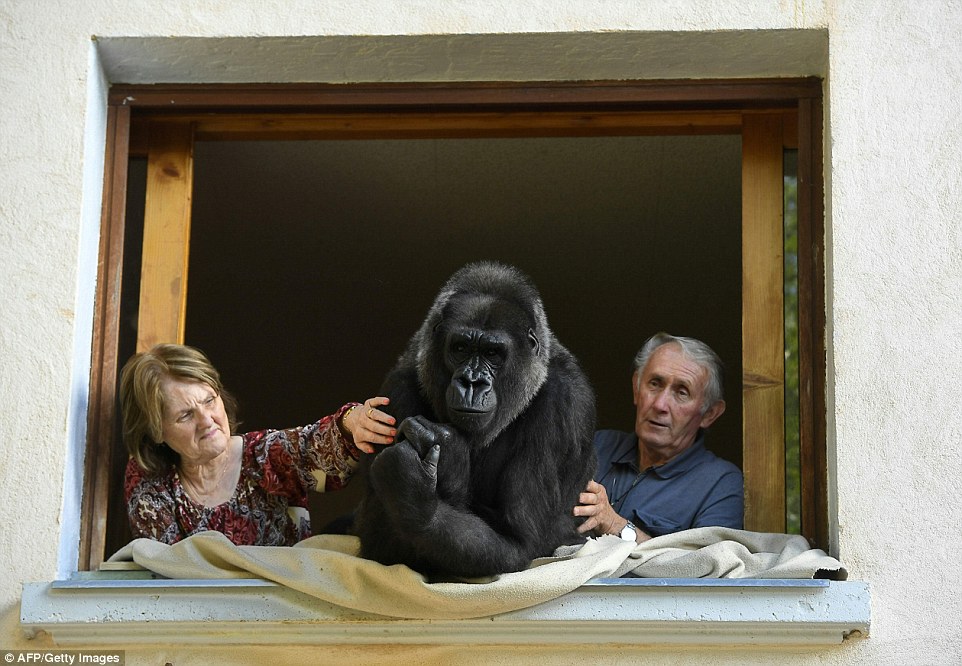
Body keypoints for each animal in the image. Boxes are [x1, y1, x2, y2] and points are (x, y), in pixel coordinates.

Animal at [350, 260, 592, 576]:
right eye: (461, 348)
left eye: (493, 353)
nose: (472, 382)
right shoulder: (397, 388)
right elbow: (381, 547)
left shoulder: (563, 404)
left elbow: (518, 541)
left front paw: (413, 493)